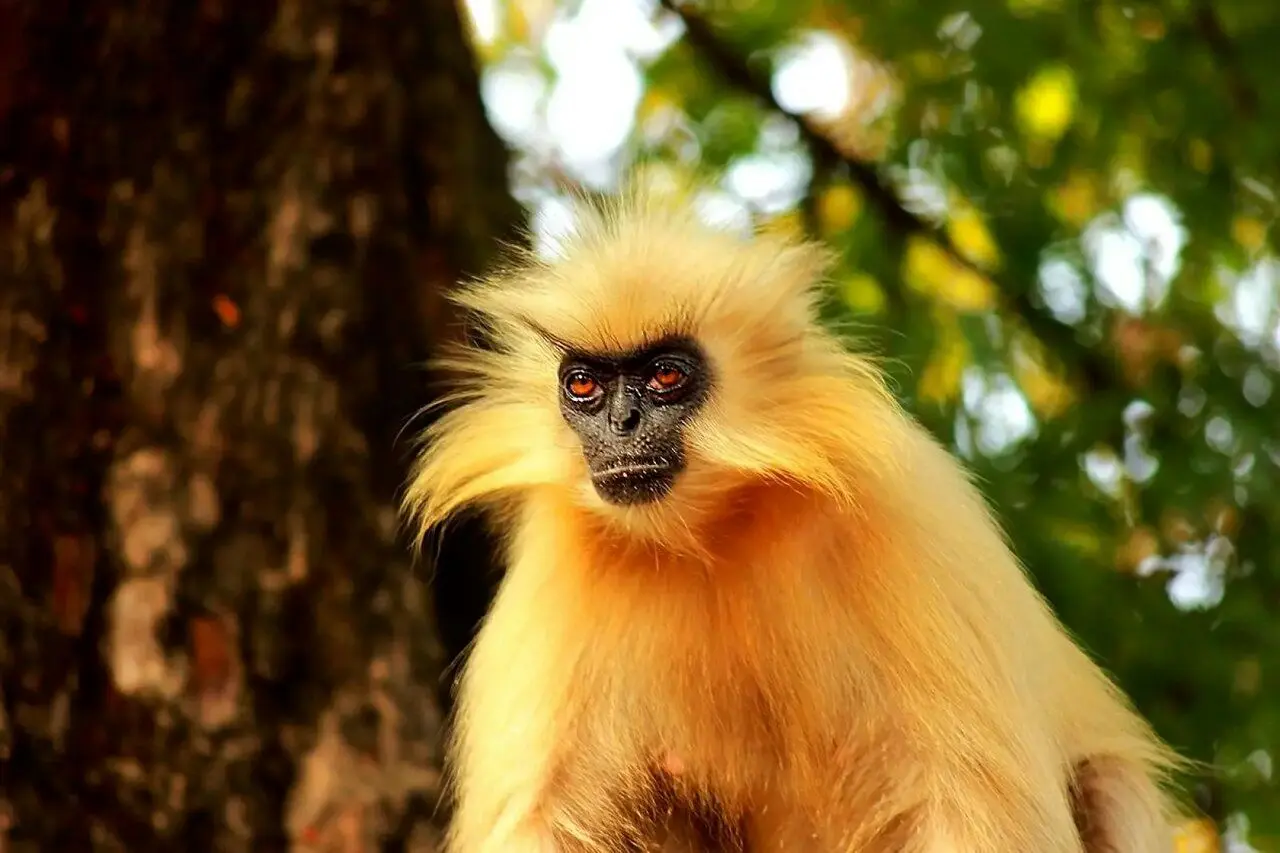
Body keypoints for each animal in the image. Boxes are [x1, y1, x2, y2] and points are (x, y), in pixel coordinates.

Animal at [404, 188, 1182, 850]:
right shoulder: (561, 566)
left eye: (665, 375)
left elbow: (976, 806)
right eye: (584, 385)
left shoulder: (909, 507)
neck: (720, 530)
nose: (622, 425)